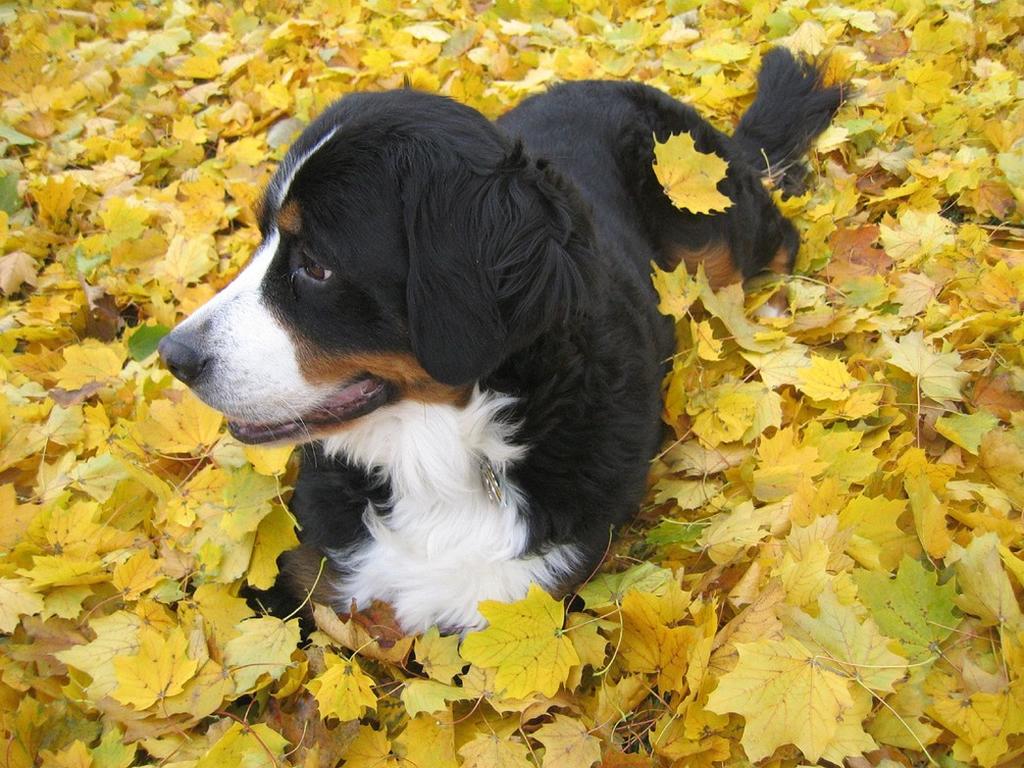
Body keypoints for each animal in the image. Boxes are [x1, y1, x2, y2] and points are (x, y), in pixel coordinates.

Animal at [159, 49, 843, 638]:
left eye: (317, 266)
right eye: (262, 239)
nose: (173, 358)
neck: (437, 458)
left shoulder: (525, 596)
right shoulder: (308, 574)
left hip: (709, 231)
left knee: (778, 236)